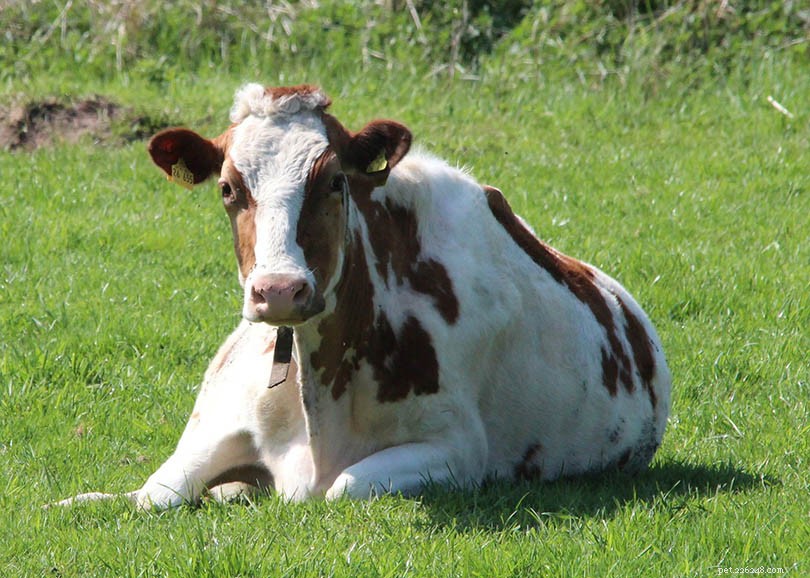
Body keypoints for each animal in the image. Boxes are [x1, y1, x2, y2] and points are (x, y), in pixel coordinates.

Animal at [55, 83, 671, 506]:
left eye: (334, 181)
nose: (279, 290)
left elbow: (342, 487)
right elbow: (150, 495)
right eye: (228, 188)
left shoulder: (457, 448)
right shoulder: (216, 428)